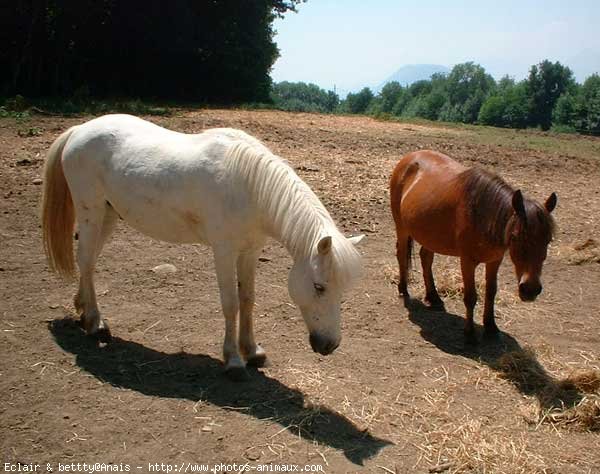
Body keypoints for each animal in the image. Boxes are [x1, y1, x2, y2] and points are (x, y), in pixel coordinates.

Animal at [42, 115, 364, 382]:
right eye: (319, 287)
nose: (329, 345)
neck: (249, 187)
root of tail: (79, 130)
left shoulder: (249, 251)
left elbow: (248, 299)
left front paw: (252, 351)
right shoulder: (224, 251)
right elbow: (230, 303)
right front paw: (234, 361)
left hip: (108, 215)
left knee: (89, 262)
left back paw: (83, 310)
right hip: (92, 212)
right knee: (86, 260)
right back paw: (95, 324)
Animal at [390, 150, 556, 342]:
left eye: (548, 239)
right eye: (515, 236)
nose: (530, 289)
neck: (483, 214)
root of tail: (410, 157)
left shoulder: (494, 261)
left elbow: (491, 292)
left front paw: (491, 327)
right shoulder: (467, 262)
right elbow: (470, 297)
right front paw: (469, 335)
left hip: (429, 236)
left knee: (426, 259)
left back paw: (434, 297)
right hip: (402, 228)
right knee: (402, 254)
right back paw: (403, 290)